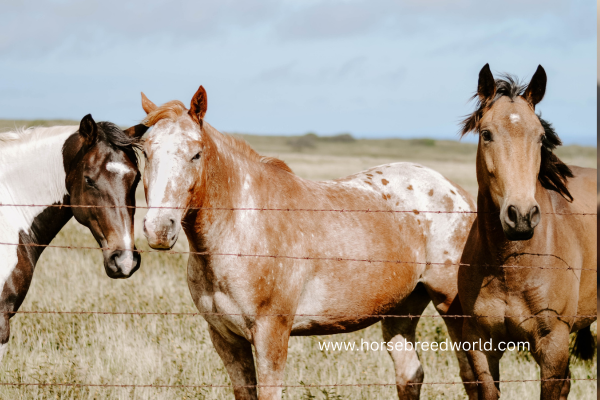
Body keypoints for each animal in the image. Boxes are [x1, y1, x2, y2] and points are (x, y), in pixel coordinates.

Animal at [137, 86, 478, 398]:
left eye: (196, 154)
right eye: (145, 154)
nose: (159, 228)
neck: (242, 228)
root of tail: (456, 191)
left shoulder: (271, 333)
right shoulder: (226, 338)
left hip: (452, 307)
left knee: (473, 375)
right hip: (401, 311)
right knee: (411, 375)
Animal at [460, 64, 596, 398]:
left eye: (540, 136)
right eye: (486, 134)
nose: (521, 216)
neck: (511, 267)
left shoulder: (553, 343)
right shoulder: (481, 344)